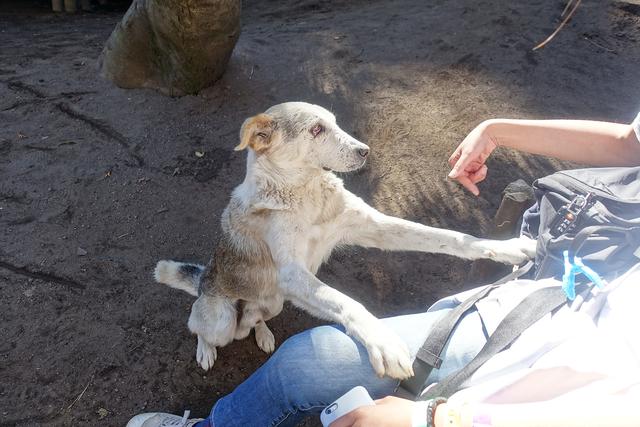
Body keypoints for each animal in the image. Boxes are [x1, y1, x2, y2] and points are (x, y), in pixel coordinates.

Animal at [155, 102, 536, 380]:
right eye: (316, 129)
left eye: (335, 123)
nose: (365, 150)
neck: (307, 195)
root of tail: (205, 281)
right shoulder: (292, 273)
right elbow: (346, 303)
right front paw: (382, 341)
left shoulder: (374, 226)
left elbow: (448, 238)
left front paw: (506, 248)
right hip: (220, 317)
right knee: (202, 326)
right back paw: (206, 348)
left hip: (273, 302)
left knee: (253, 319)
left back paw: (259, 331)